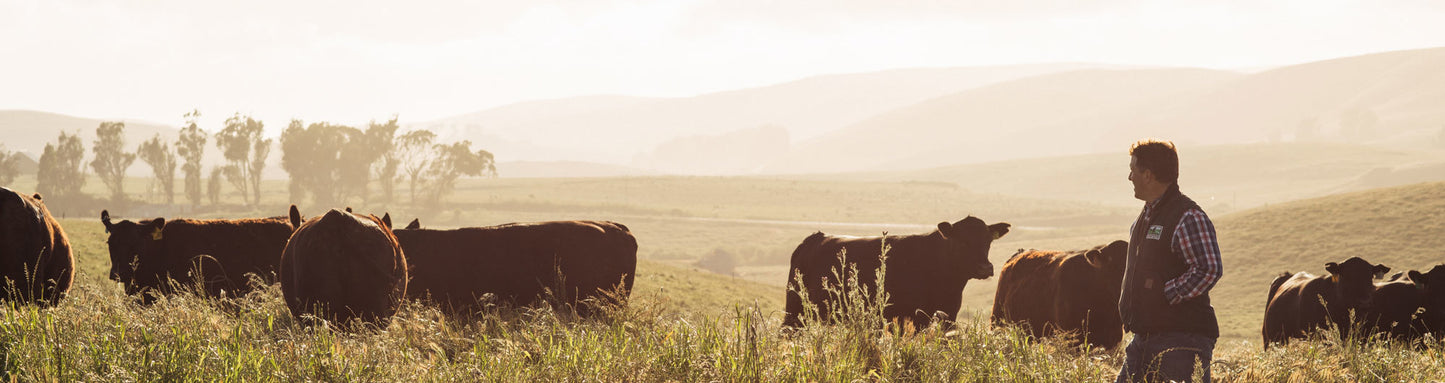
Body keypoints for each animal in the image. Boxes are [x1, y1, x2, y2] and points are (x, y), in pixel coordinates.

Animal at [786, 213, 1011, 328]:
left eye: (988, 240)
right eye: (963, 241)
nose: (985, 267)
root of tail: (816, 237)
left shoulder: (948, 316)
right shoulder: (906, 318)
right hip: (794, 311)